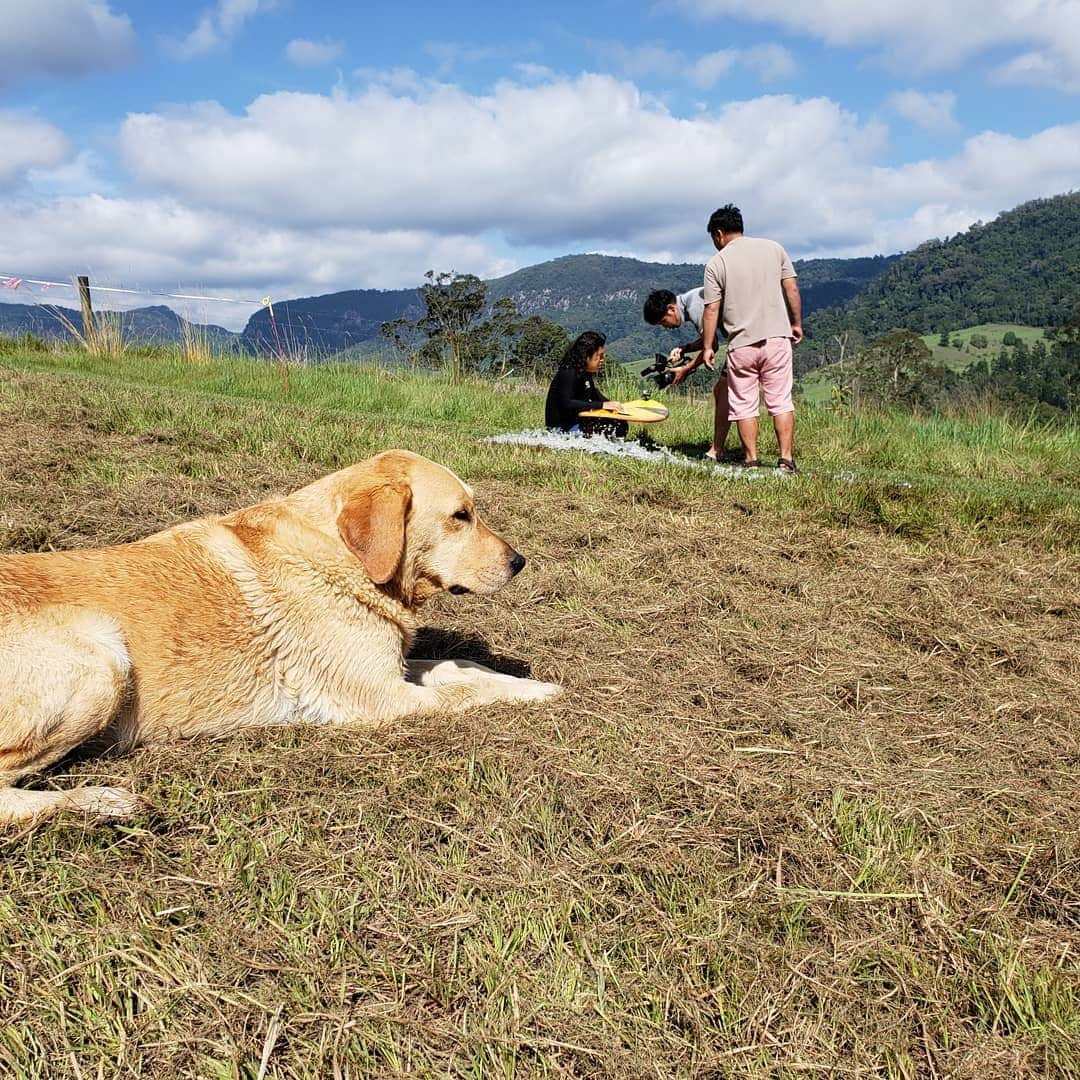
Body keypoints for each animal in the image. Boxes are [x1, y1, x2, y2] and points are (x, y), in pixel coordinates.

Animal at [0, 451, 561, 820]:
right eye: (460, 516)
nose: (520, 562)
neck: (343, 555)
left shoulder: (391, 669)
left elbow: (464, 667)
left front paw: (522, 680)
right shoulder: (379, 697)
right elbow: (470, 693)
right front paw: (536, 693)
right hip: (101, 661)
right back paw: (98, 801)